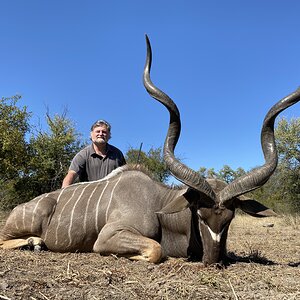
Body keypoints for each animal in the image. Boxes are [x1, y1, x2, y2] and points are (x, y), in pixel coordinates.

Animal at [0, 37, 300, 264]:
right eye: (199, 215)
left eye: (229, 218)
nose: (213, 259)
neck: (157, 204)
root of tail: (19, 208)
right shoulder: (109, 236)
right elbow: (156, 250)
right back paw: (34, 242)